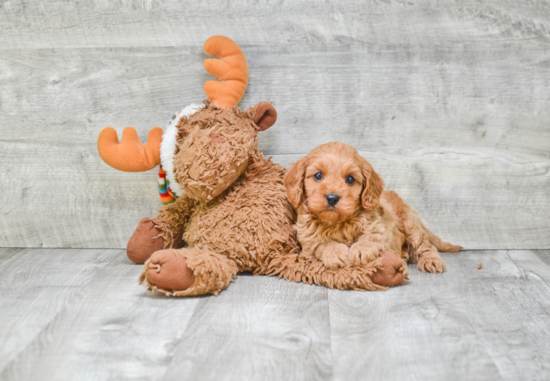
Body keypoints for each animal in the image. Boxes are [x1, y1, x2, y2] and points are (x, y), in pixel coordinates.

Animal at [286, 142, 464, 276]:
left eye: (350, 179)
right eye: (318, 175)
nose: (332, 198)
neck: (338, 223)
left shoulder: (382, 227)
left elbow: (372, 237)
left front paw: (360, 250)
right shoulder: (307, 239)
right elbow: (320, 244)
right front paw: (335, 252)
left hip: (410, 224)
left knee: (425, 245)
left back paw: (431, 260)